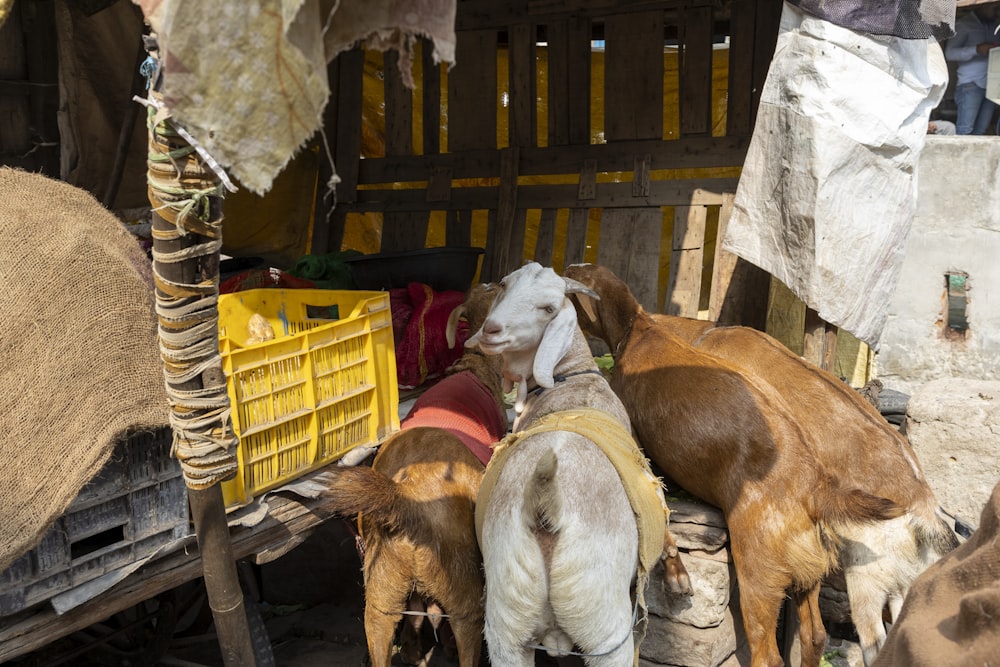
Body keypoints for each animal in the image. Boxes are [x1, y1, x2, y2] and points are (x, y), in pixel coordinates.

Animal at [466, 262, 688, 667]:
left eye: (548, 309)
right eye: (504, 285)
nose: (491, 331)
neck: (573, 377)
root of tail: (544, 505)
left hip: (508, 626)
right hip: (605, 627)